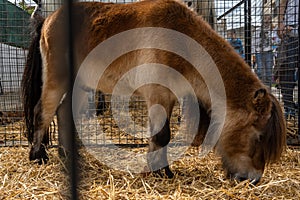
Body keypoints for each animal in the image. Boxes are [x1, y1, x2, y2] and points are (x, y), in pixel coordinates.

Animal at [22, 0, 284, 184]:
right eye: (258, 136)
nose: (253, 179)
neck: (183, 42)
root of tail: (48, 19)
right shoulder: (158, 95)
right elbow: (161, 136)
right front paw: (162, 172)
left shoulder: (169, 98)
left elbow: (160, 137)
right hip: (57, 82)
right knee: (42, 112)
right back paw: (38, 155)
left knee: (61, 115)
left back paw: (65, 154)